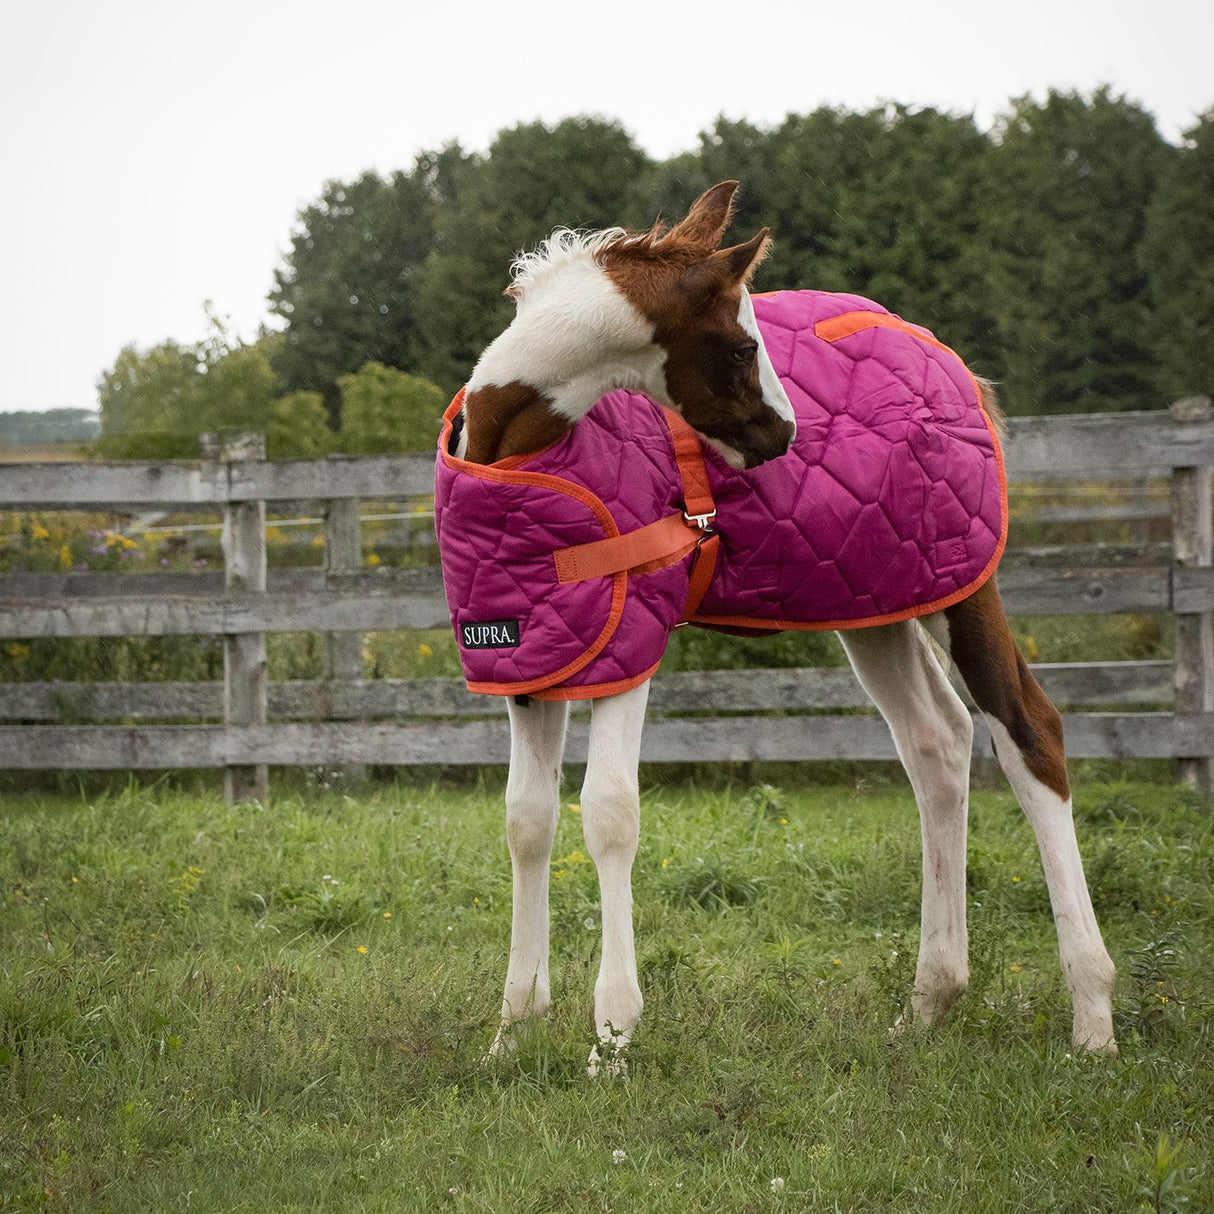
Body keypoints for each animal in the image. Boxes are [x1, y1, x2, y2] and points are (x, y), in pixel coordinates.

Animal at [435, 181, 1116, 1071]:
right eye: (736, 346)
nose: (784, 436)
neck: (517, 454)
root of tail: (951, 361)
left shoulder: (629, 639)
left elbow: (610, 812)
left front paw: (612, 1037)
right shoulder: (533, 656)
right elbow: (527, 820)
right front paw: (512, 1031)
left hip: (962, 578)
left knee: (1026, 728)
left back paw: (1093, 1020)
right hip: (876, 596)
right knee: (936, 742)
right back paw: (930, 1004)